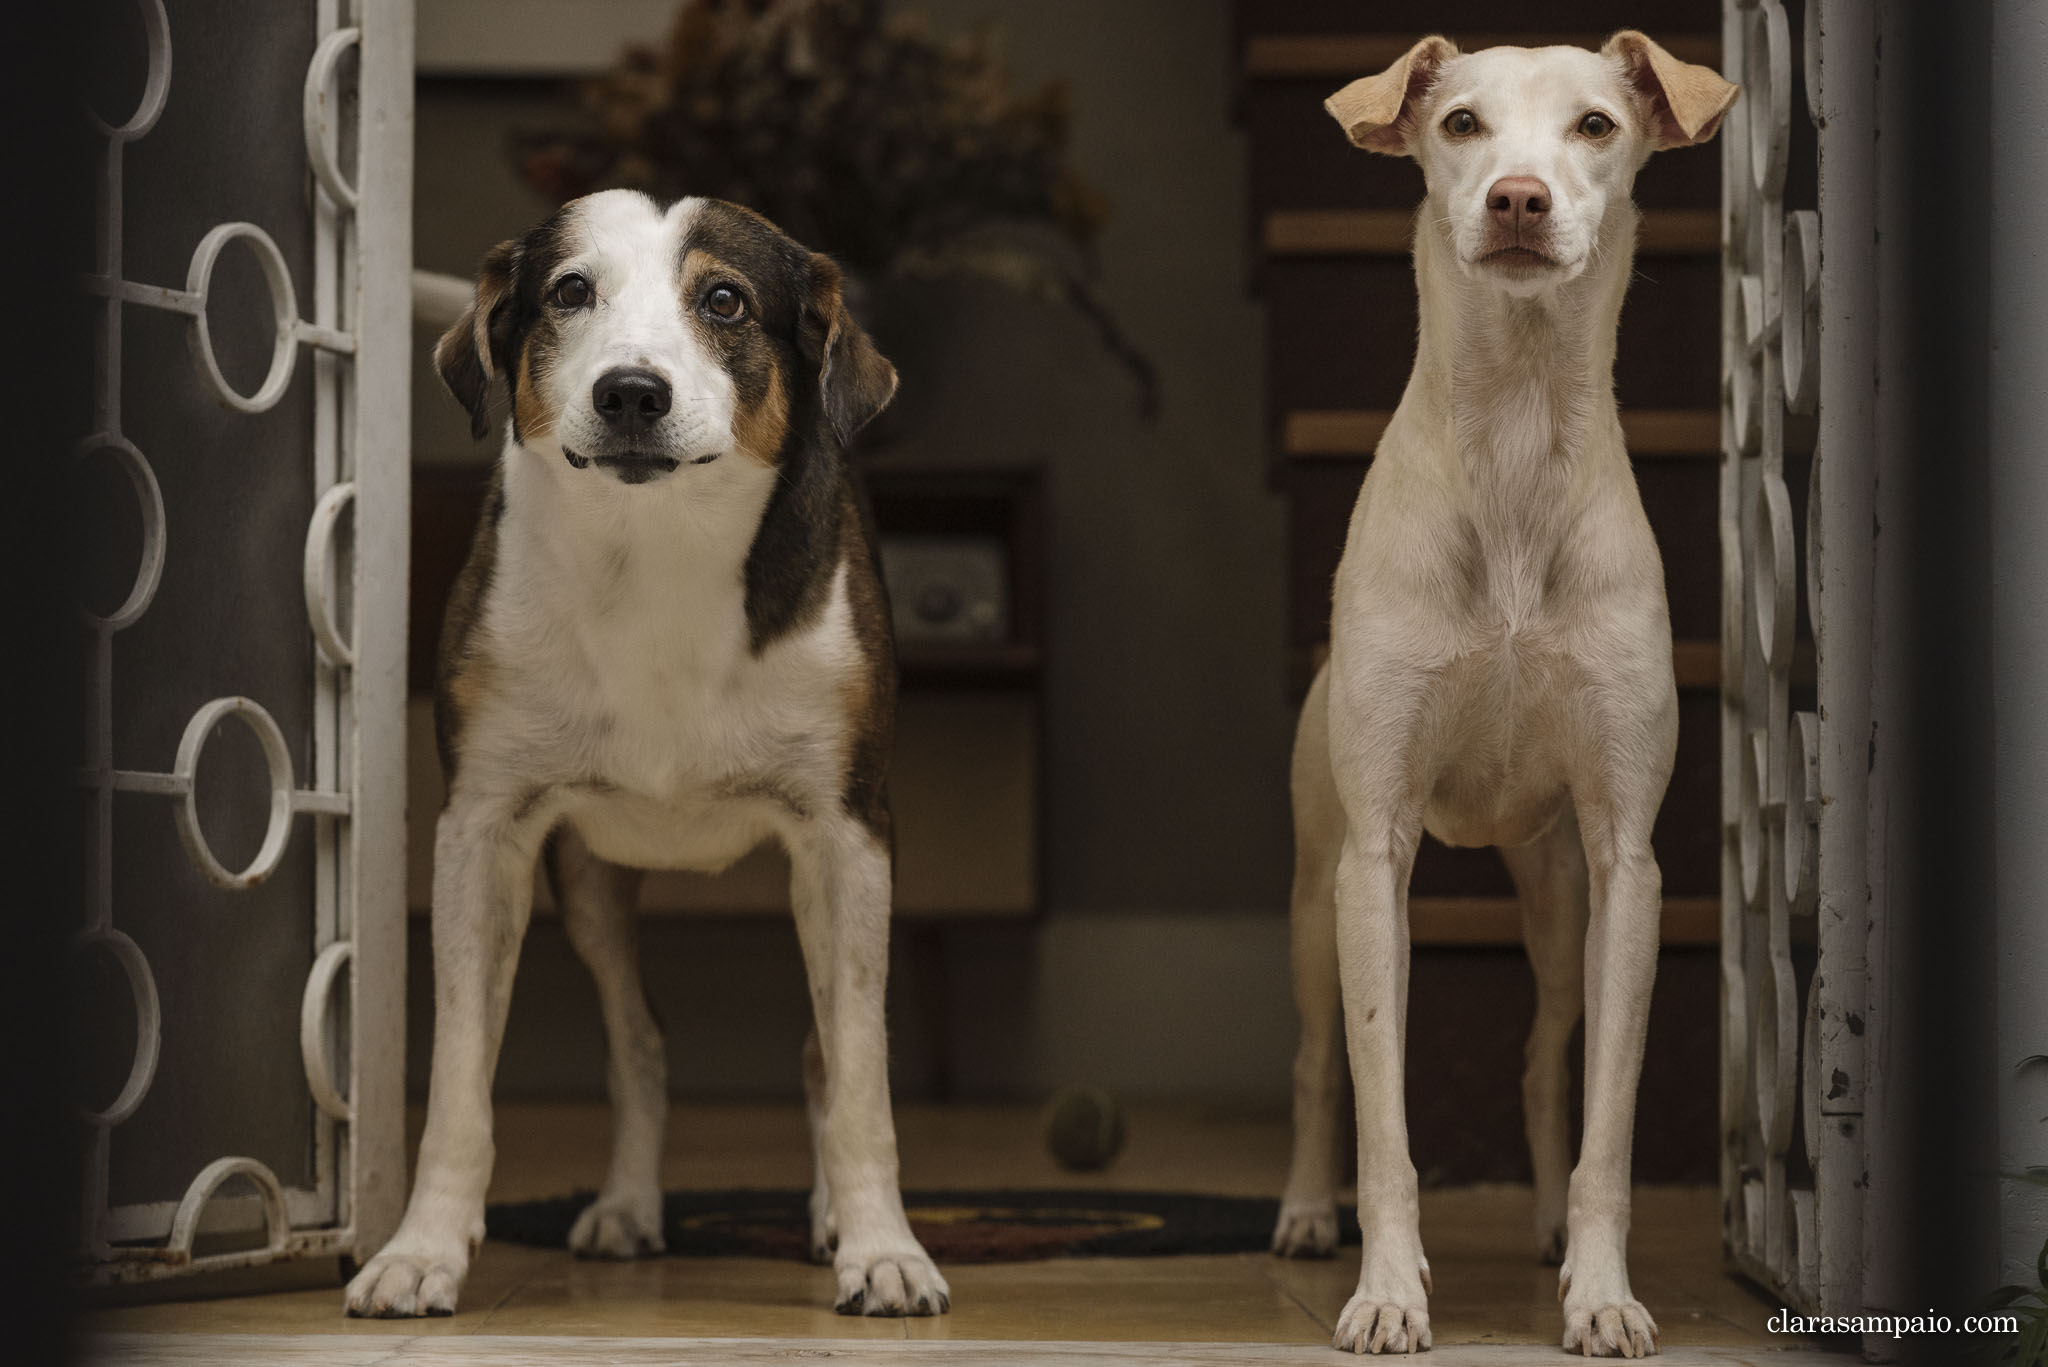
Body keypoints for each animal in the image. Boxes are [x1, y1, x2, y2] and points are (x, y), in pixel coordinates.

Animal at [346, 192, 950, 1328]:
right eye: (569, 290)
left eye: (724, 301)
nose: (630, 390)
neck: (656, 549)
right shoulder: (482, 828)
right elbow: (458, 1082)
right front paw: (420, 1251)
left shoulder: (849, 836)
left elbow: (859, 1076)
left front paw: (883, 1249)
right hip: (587, 878)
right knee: (641, 1041)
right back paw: (627, 1206)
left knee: (817, 1048)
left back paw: (826, 1217)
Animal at [1269, 32, 1736, 1360]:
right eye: (1460, 124)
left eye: (1594, 126)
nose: (1517, 199)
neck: (1517, 440)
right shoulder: (1372, 853)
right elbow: (1383, 1109)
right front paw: (1384, 1288)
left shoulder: (1625, 859)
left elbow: (1605, 1120)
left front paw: (1599, 1289)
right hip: (1313, 895)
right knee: (1318, 1060)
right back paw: (1304, 1212)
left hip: (1554, 890)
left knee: (1541, 1057)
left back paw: (1539, 1224)